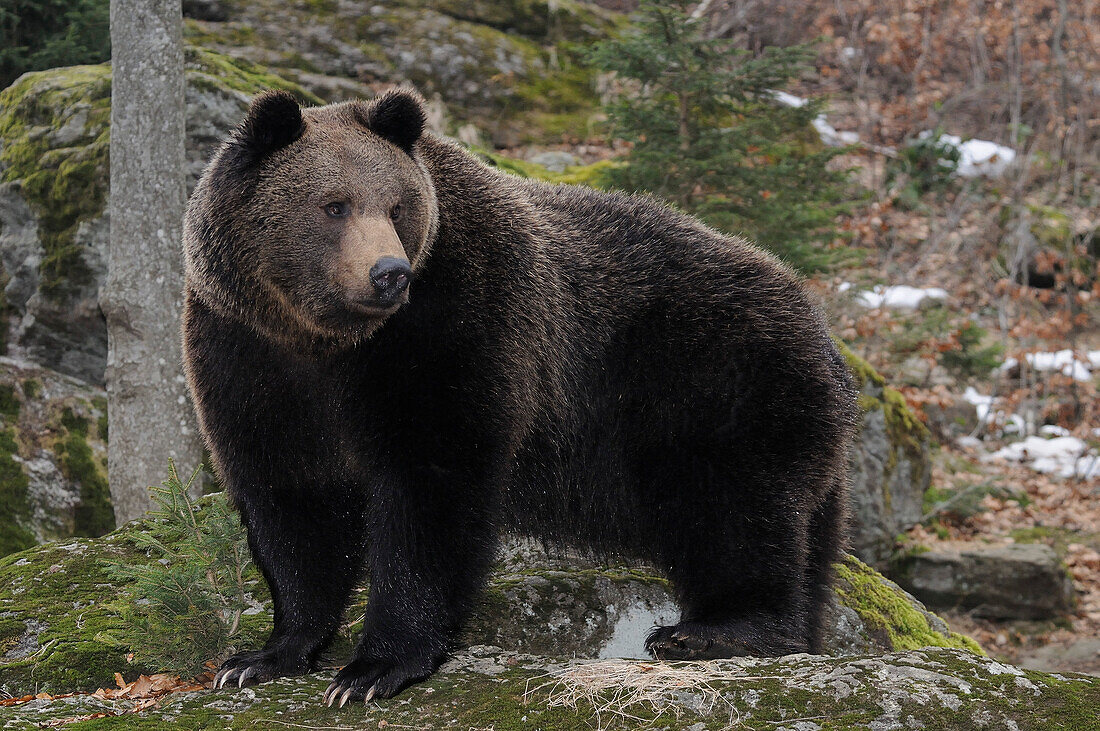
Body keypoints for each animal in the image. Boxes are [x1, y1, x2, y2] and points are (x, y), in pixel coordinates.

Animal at [182, 86, 858, 707]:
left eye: (397, 206)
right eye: (334, 205)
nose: (389, 273)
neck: (329, 341)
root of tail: (824, 332)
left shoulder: (457, 328)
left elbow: (430, 493)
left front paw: (374, 669)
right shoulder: (248, 358)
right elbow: (293, 504)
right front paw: (263, 656)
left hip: (716, 386)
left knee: (734, 515)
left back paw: (710, 631)